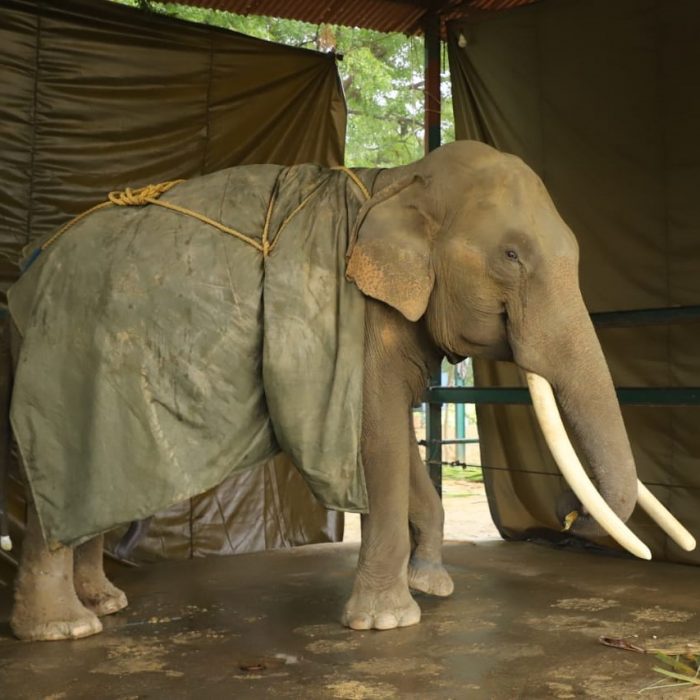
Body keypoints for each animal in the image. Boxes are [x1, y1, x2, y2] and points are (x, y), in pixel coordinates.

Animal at [4, 140, 693, 641]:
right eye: (513, 256)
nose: (567, 514)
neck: (399, 181)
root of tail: (30, 269)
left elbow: (401, 444)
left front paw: (433, 586)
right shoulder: (359, 321)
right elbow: (380, 437)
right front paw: (387, 621)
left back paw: (106, 603)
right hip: (65, 356)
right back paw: (64, 630)